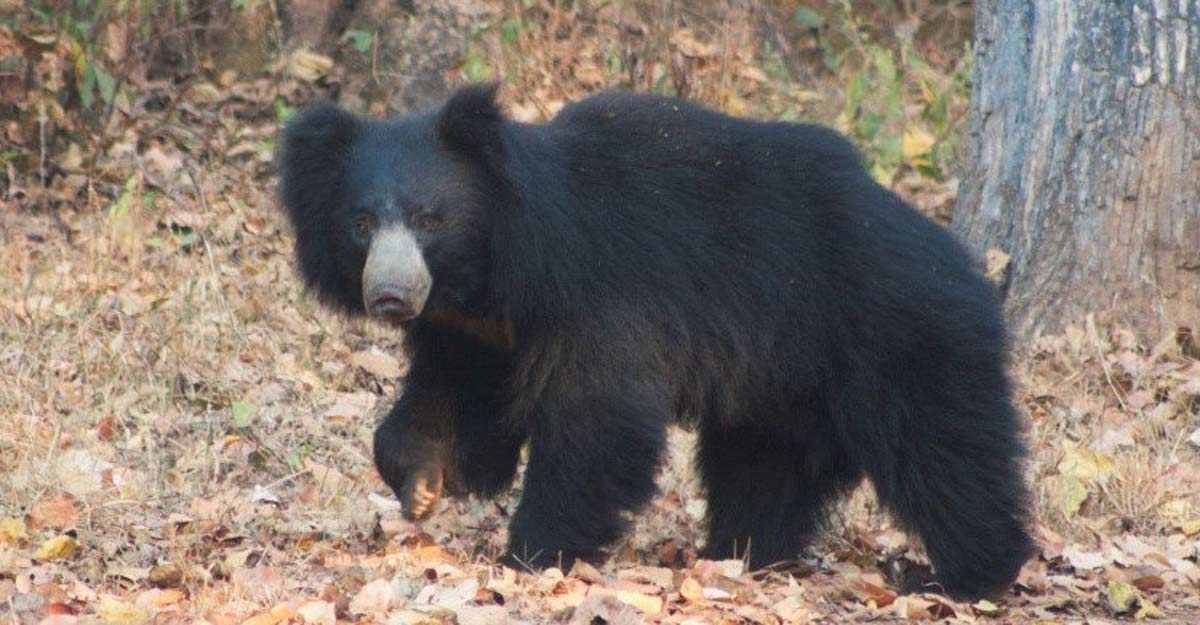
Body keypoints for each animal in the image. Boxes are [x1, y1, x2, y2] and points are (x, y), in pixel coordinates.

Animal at [277, 83, 1034, 600]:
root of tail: (961, 259)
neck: (496, 267)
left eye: (430, 218)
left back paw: (966, 575)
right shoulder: (476, 329)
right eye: (362, 223)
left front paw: (535, 555)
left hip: (898, 331)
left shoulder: (605, 294)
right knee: (763, 466)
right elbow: (450, 395)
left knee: (944, 451)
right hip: (781, 379)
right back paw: (744, 553)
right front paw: (422, 483)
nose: (390, 294)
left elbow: (596, 419)